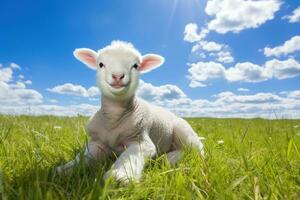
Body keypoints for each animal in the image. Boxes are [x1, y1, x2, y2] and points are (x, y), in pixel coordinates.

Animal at [56, 40, 204, 183]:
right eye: (101, 64)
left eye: (135, 66)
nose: (117, 76)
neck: (115, 115)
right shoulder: (96, 143)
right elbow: (82, 157)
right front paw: (65, 170)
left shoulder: (141, 141)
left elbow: (129, 158)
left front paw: (119, 177)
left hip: (183, 130)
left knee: (196, 152)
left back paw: (169, 158)